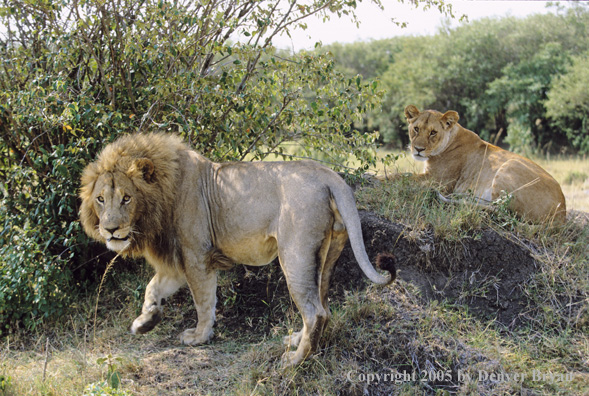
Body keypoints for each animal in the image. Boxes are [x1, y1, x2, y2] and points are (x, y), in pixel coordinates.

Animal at [77, 132, 390, 366]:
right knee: (322, 303)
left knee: (316, 312)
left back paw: (293, 361)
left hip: (295, 254)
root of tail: (329, 175)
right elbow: (152, 288)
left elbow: (203, 301)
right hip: (328, 252)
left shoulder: (196, 256)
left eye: (127, 198)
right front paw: (145, 322)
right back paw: (296, 341)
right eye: (101, 199)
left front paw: (200, 337)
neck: (160, 198)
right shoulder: (177, 262)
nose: (111, 230)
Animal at [402, 104, 564, 223]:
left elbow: (401, 177)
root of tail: (561, 213)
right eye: (416, 129)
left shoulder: (437, 180)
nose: (418, 149)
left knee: (501, 209)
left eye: (433, 132)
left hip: (511, 164)